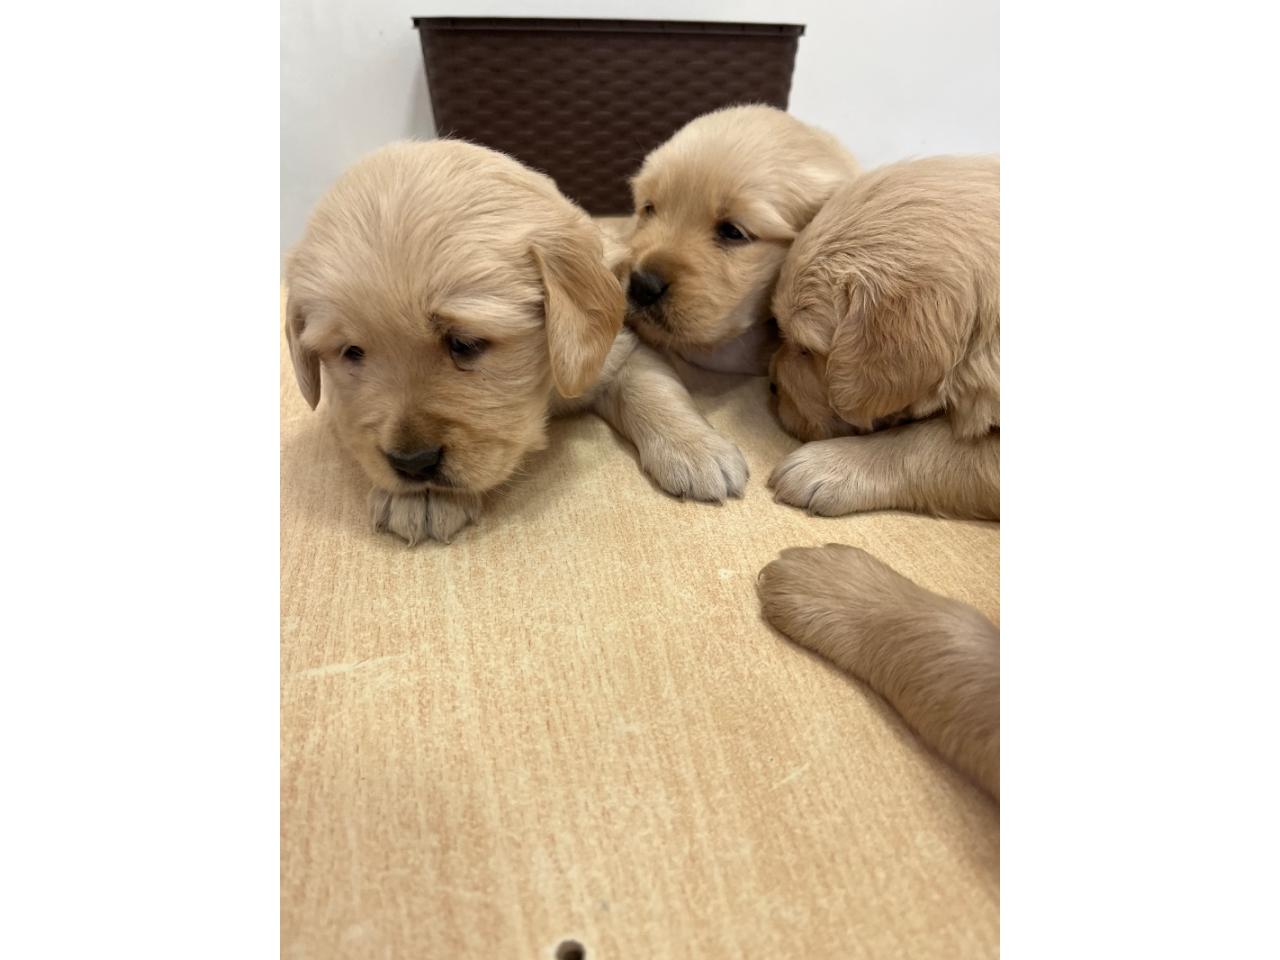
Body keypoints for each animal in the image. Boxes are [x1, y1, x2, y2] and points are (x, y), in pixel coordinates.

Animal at [285, 140, 748, 544]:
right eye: (351, 352)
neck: (545, 390)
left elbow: (654, 389)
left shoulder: (616, 349)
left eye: (465, 344)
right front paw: (421, 498)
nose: (413, 464)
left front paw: (696, 448)